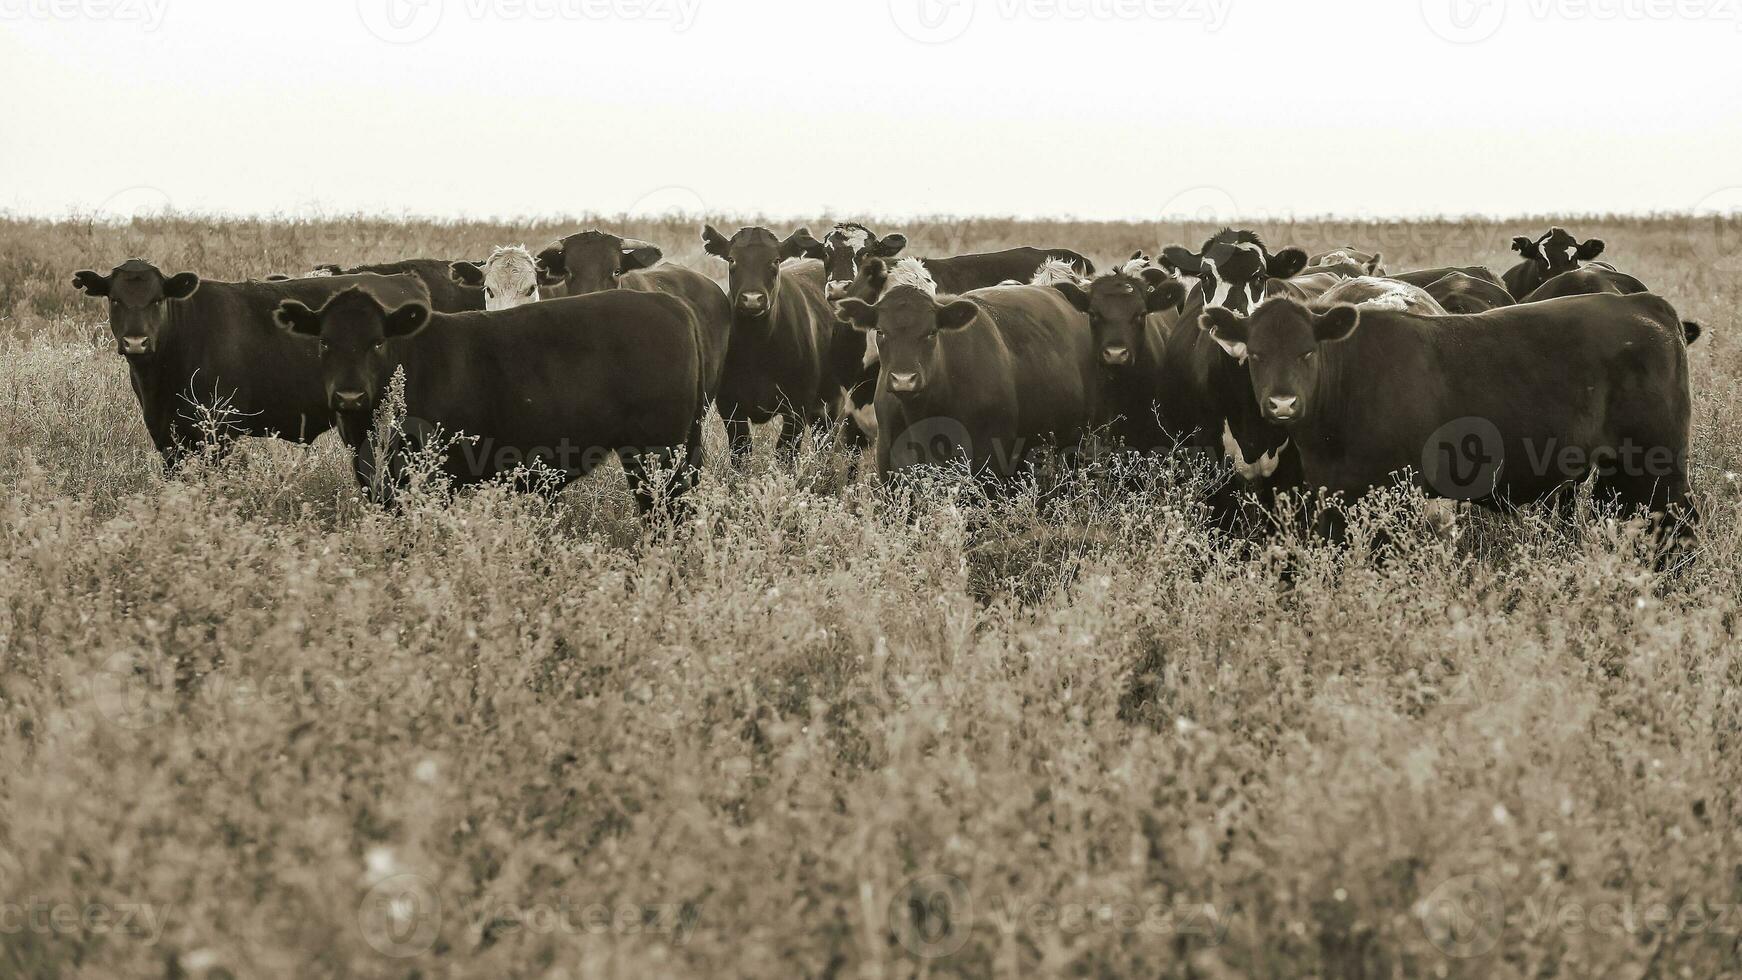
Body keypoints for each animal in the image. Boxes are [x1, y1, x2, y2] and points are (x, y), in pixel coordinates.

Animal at [74, 262, 428, 469]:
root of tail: (405, 279)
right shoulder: (165, 433)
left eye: (157, 300)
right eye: (115, 300)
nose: (136, 342)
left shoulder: (219, 430)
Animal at [700, 224, 850, 463]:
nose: (752, 299)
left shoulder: (797, 405)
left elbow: (785, 452)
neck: (757, 346)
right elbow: (740, 451)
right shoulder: (729, 405)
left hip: (833, 398)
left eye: (776, 260)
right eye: (732, 259)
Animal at [1205, 290, 1693, 553]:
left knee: (1679, 525)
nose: (1282, 403)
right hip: (1621, 473)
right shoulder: (1335, 493)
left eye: (1307, 351)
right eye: (1256, 354)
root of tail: (1643, 303)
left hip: (1659, 464)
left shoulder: (1397, 489)